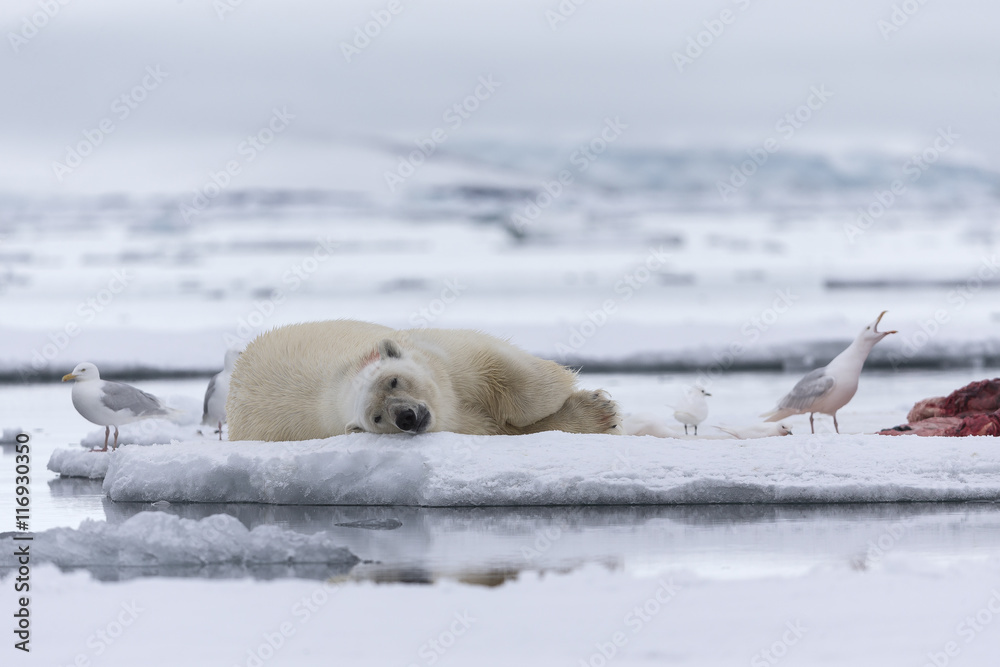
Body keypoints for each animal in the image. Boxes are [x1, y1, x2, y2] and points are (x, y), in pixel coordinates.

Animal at [226, 320, 621, 441]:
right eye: (376, 418)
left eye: (393, 381)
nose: (406, 416)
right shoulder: (459, 423)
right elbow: (504, 430)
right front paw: (600, 414)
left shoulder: (444, 357)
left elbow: (510, 374)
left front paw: (597, 404)